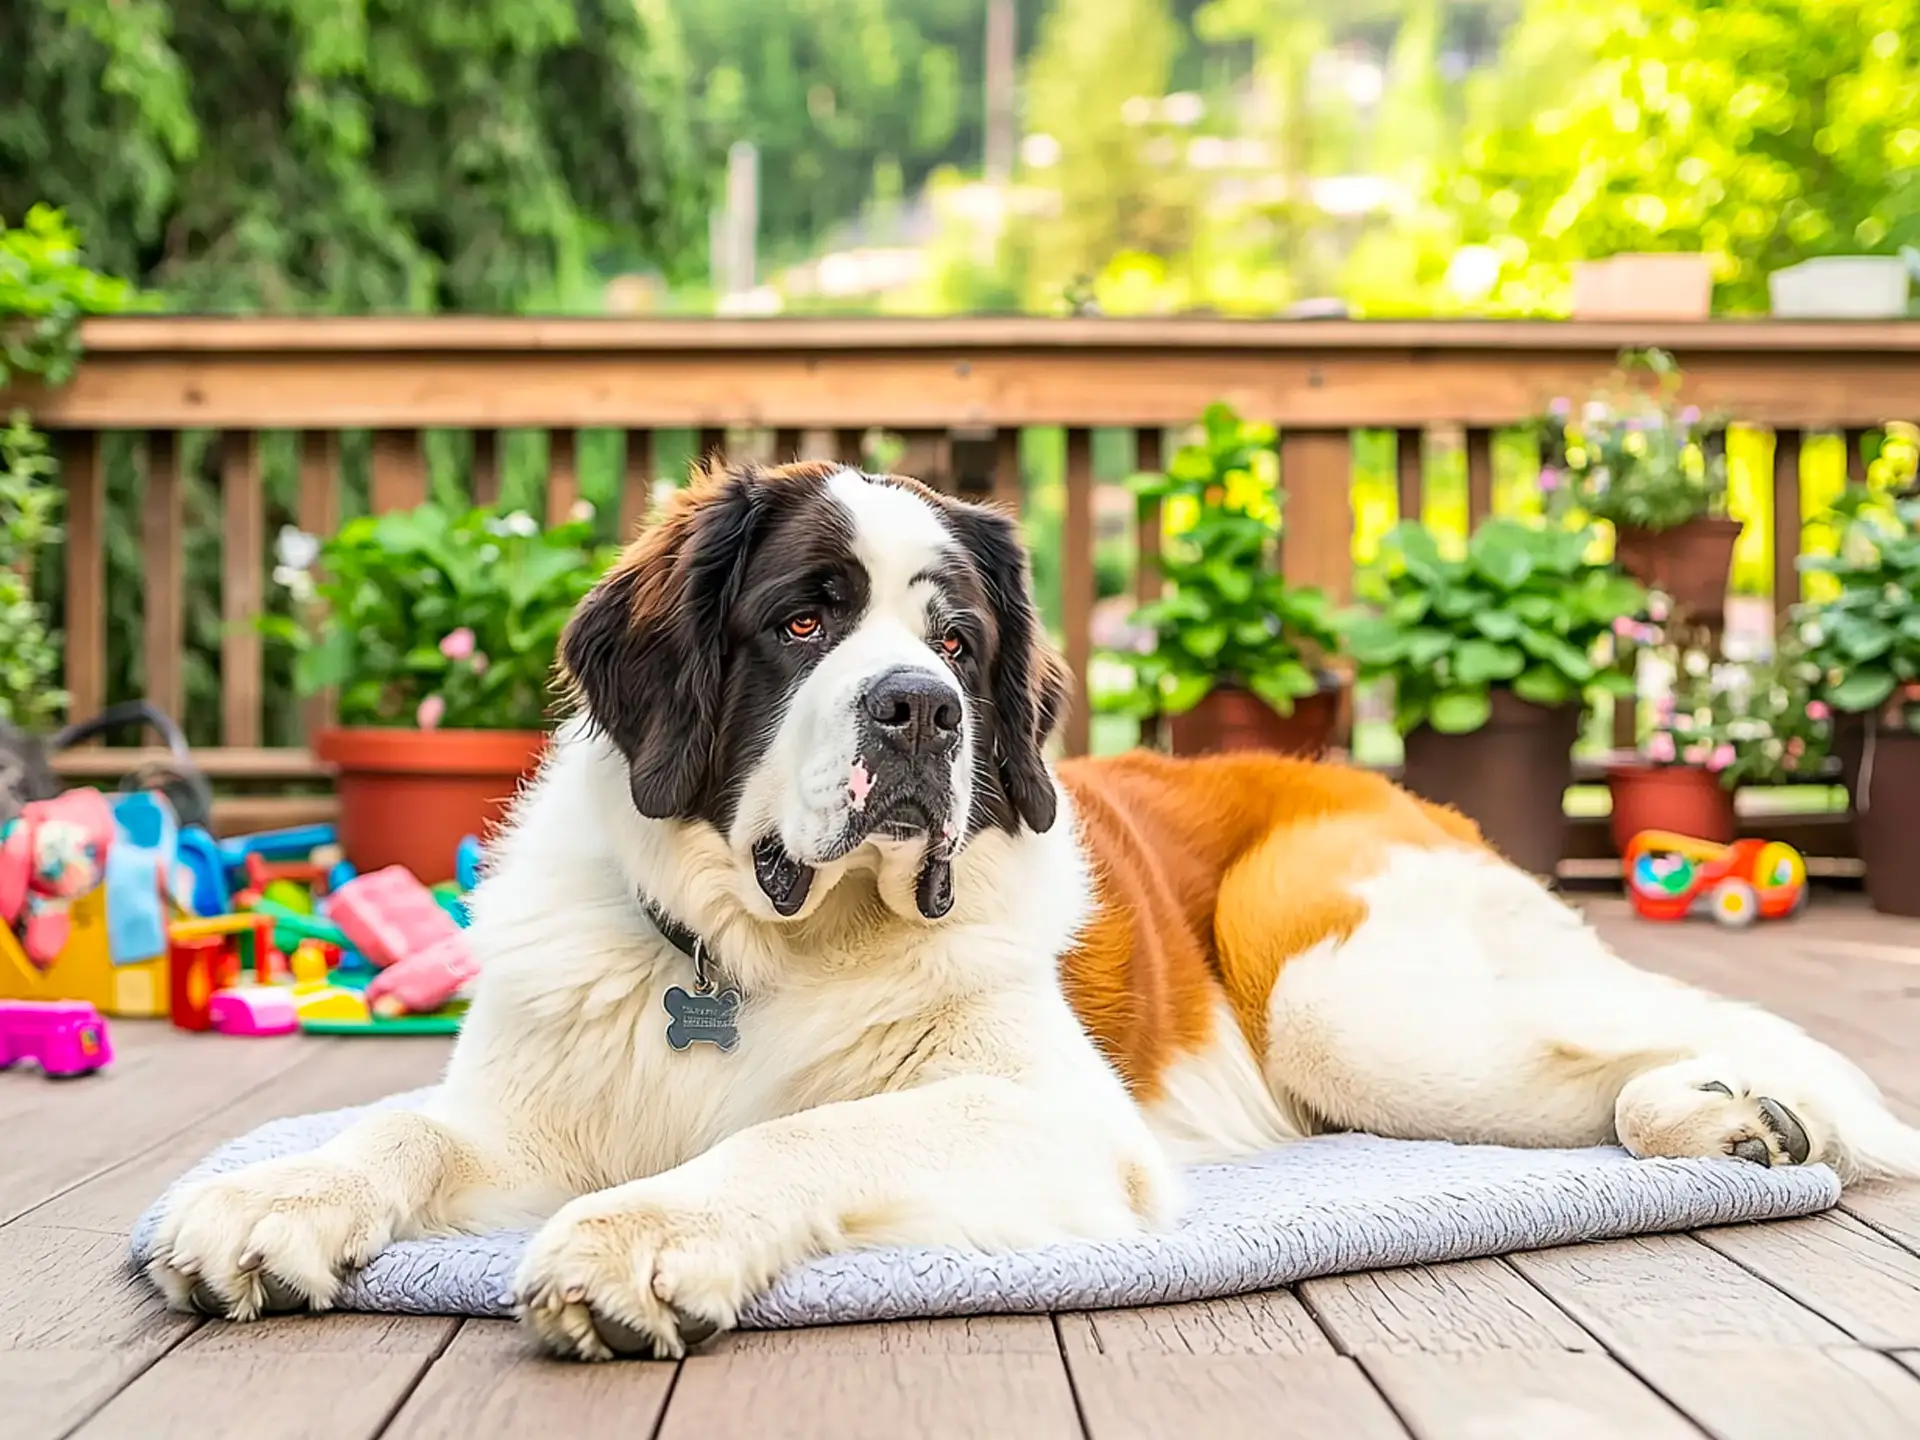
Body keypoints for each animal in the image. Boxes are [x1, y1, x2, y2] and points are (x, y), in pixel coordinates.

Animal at [149, 464, 1920, 1367]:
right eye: (804, 622)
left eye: (959, 641)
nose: (922, 714)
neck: (764, 950)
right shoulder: (527, 1107)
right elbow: (398, 1130)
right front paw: (267, 1201)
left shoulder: (1049, 1118)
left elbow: (803, 1133)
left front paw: (646, 1235)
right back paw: (1719, 1120)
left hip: (1344, 1000)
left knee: (1633, 1033)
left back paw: (1752, 1113)